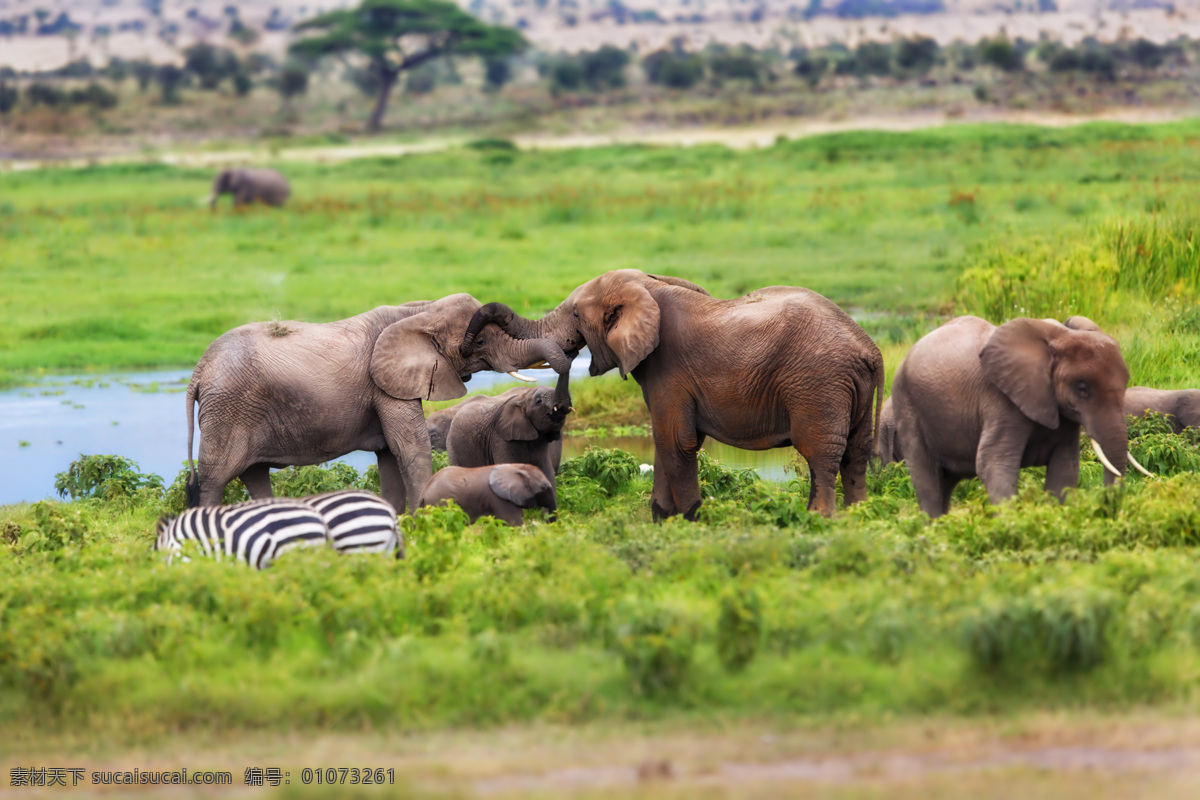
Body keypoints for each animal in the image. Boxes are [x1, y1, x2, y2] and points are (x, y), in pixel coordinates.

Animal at [185, 293, 573, 512]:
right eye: (478, 342)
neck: (419, 310)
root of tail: (198, 371)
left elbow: (389, 455)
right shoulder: (385, 386)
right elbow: (410, 447)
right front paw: (426, 519)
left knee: (254, 475)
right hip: (228, 411)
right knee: (215, 478)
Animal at [419, 464, 557, 526]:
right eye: (543, 488)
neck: (516, 467)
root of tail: (424, 492)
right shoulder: (499, 498)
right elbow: (513, 522)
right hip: (441, 504)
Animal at [461, 269, 884, 518]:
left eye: (577, 315)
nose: (465, 348)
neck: (651, 287)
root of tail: (870, 349)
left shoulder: (670, 369)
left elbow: (677, 441)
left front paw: (691, 519)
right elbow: (664, 440)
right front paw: (666, 519)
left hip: (818, 384)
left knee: (821, 455)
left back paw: (819, 520)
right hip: (847, 389)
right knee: (856, 453)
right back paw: (858, 519)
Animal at [890, 315, 1153, 519]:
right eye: (1082, 389)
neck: (1060, 335)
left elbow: (1065, 467)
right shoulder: (1001, 401)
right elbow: (993, 464)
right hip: (906, 405)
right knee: (928, 482)